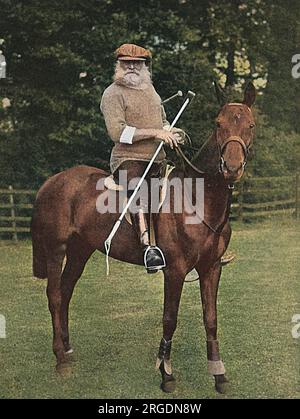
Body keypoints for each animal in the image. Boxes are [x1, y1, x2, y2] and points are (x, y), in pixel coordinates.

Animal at [30, 81, 255, 394]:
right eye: (218, 123)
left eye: (250, 125)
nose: (231, 168)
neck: (198, 198)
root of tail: (52, 182)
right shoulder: (175, 270)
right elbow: (169, 319)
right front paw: (166, 373)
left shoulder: (211, 268)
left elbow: (210, 318)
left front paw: (218, 374)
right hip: (56, 248)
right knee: (53, 295)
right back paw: (60, 360)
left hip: (80, 249)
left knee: (66, 291)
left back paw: (68, 349)